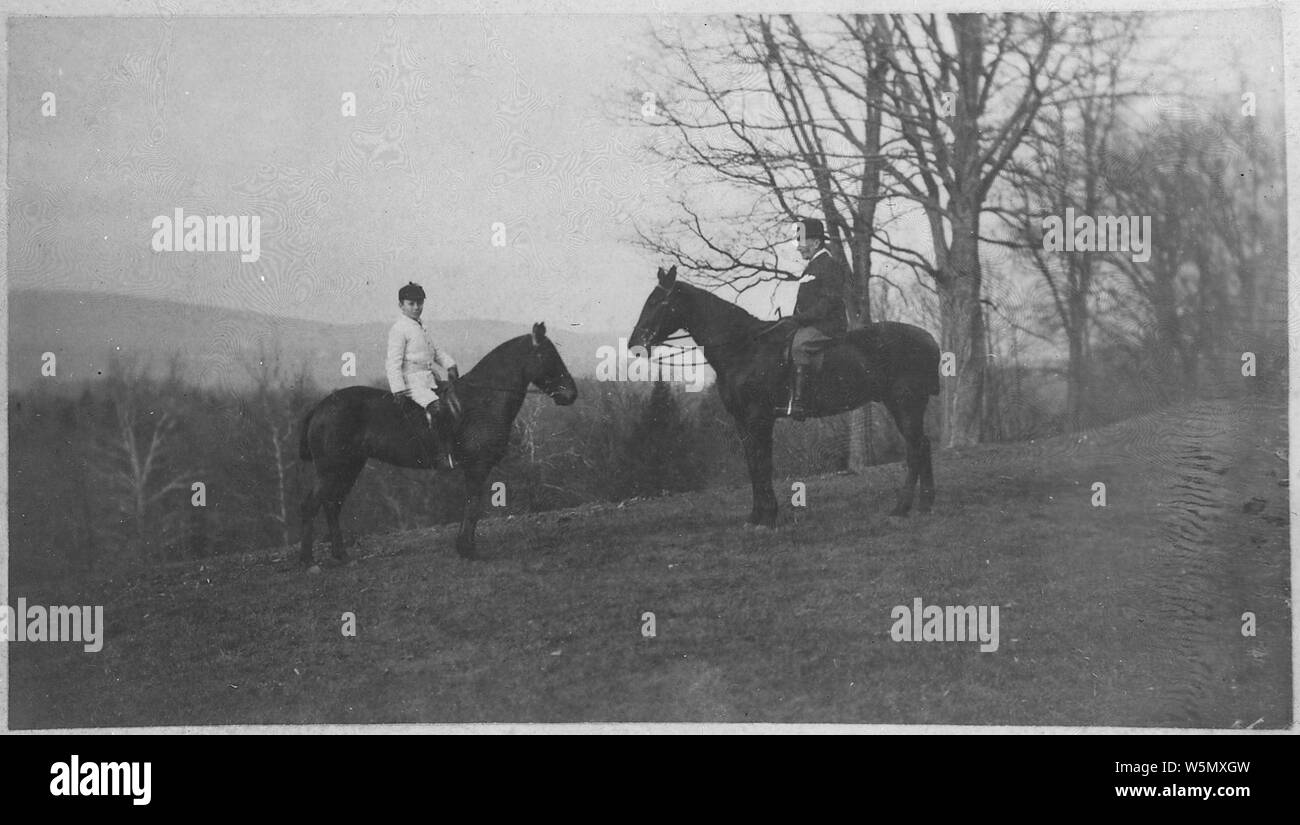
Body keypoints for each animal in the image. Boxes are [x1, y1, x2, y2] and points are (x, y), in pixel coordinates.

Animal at [301, 320, 577, 561]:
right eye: (547, 355)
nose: (571, 394)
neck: (482, 400)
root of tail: (321, 406)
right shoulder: (477, 467)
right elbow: (473, 506)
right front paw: (467, 550)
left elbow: (470, 505)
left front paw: (464, 547)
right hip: (331, 468)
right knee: (312, 504)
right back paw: (308, 560)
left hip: (349, 467)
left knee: (332, 504)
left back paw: (341, 555)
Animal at [626, 268, 935, 530]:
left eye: (657, 302)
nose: (634, 344)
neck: (745, 348)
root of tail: (928, 338)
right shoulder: (742, 421)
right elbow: (753, 464)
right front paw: (755, 516)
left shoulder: (758, 418)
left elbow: (763, 463)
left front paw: (768, 516)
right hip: (904, 405)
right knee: (923, 445)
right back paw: (925, 504)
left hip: (906, 404)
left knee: (915, 449)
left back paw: (901, 508)